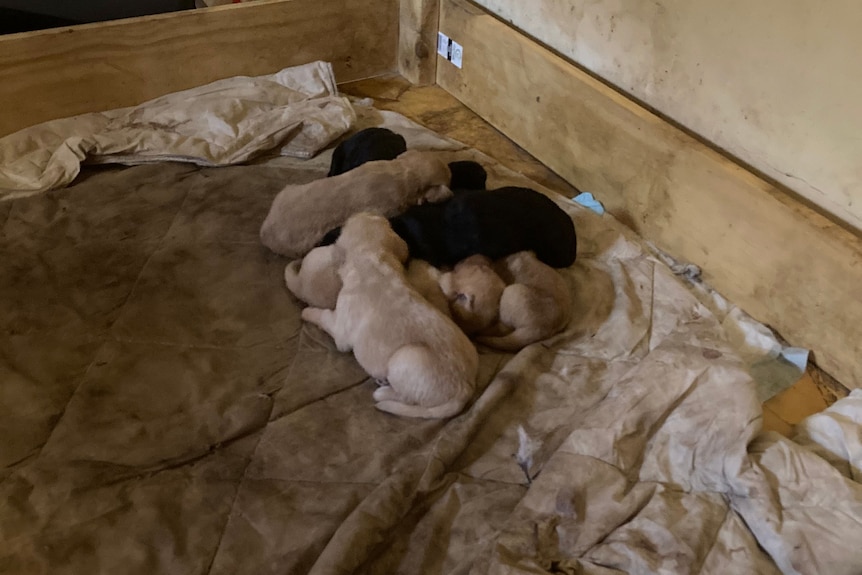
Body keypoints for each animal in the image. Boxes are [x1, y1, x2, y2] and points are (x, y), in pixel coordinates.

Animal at [302, 214, 480, 420]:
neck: (371, 259)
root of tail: (465, 389)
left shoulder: (341, 331)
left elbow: (322, 316)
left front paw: (307, 312)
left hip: (404, 358)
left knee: (407, 397)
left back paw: (382, 391)